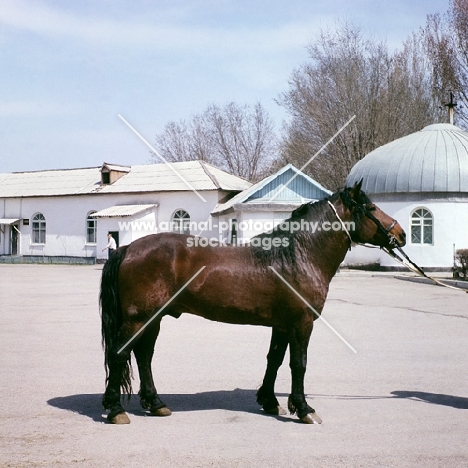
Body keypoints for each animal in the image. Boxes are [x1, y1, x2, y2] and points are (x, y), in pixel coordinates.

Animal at [99, 182, 406, 424]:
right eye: (371, 207)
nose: (401, 234)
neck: (297, 254)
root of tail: (127, 248)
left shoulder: (282, 325)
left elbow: (275, 360)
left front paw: (269, 401)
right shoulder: (301, 323)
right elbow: (299, 364)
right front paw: (304, 409)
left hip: (153, 318)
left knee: (144, 356)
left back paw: (156, 404)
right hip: (137, 319)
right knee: (119, 354)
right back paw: (116, 410)